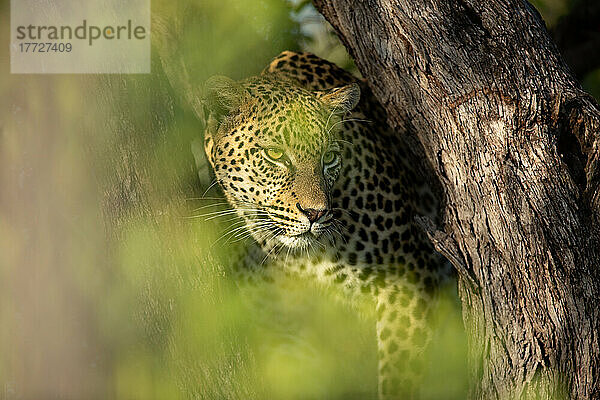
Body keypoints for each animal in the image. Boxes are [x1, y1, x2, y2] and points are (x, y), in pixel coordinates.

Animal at [200, 51, 450, 398]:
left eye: (329, 158)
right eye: (274, 154)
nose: (315, 213)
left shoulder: (408, 280)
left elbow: (400, 374)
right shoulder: (287, 332)